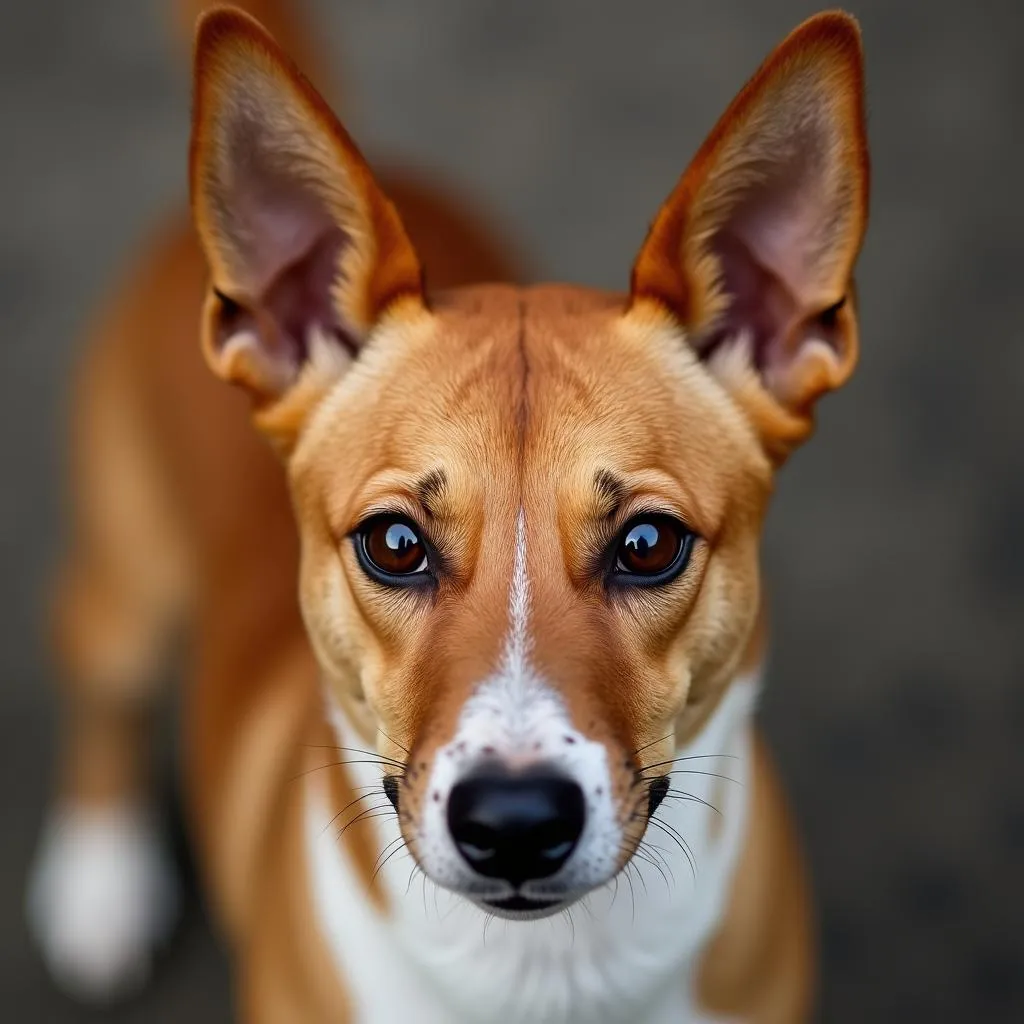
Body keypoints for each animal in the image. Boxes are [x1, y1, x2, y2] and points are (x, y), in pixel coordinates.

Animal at [28, 4, 868, 1019]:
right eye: (394, 544)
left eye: (649, 543)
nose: (515, 822)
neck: (543, 978)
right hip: (129, 583)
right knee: (100, 686)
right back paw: (100, 878)